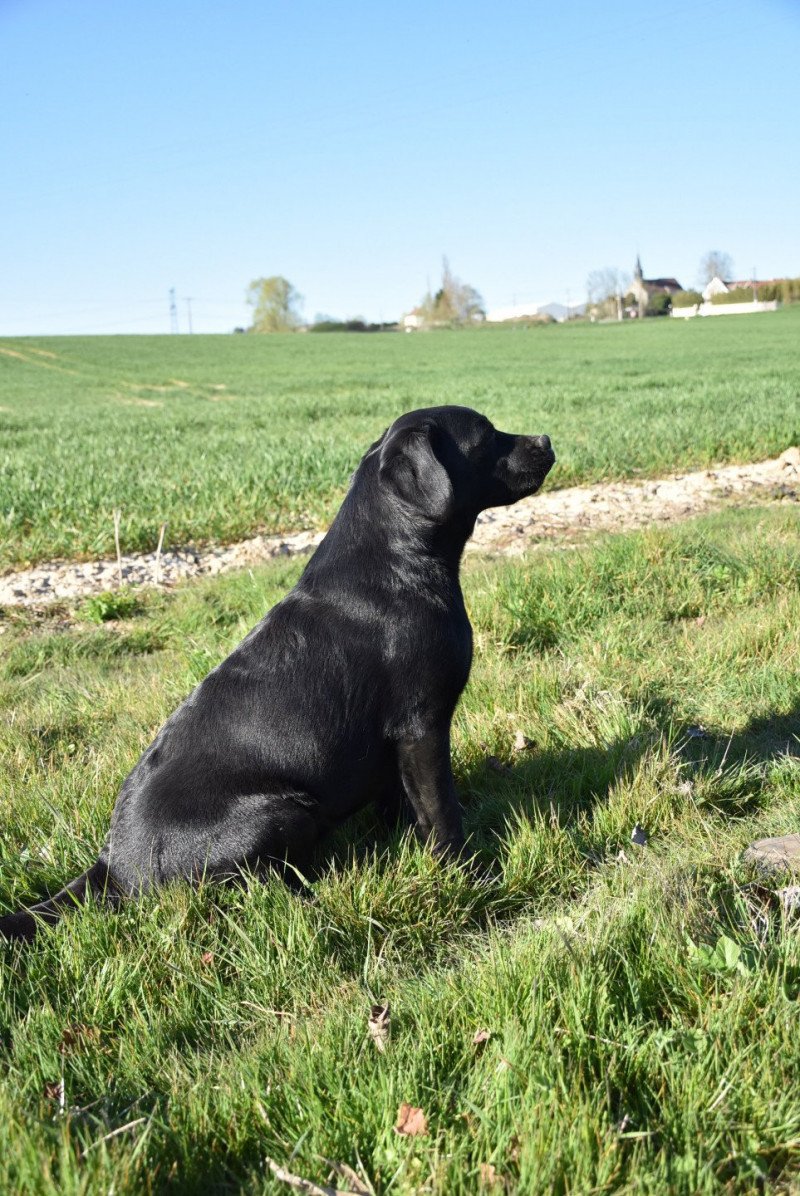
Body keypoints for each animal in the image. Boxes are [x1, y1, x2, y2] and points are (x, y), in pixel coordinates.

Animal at [0, 406, 552, 937]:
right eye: (486, 434)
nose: (546, 439)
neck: (399, 561)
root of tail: (112, 868)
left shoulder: (395, 743)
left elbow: (402, 803)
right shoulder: (422, 726)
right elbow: (441, 812)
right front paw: (469, 875)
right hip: (282, 808)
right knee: (254, 888)